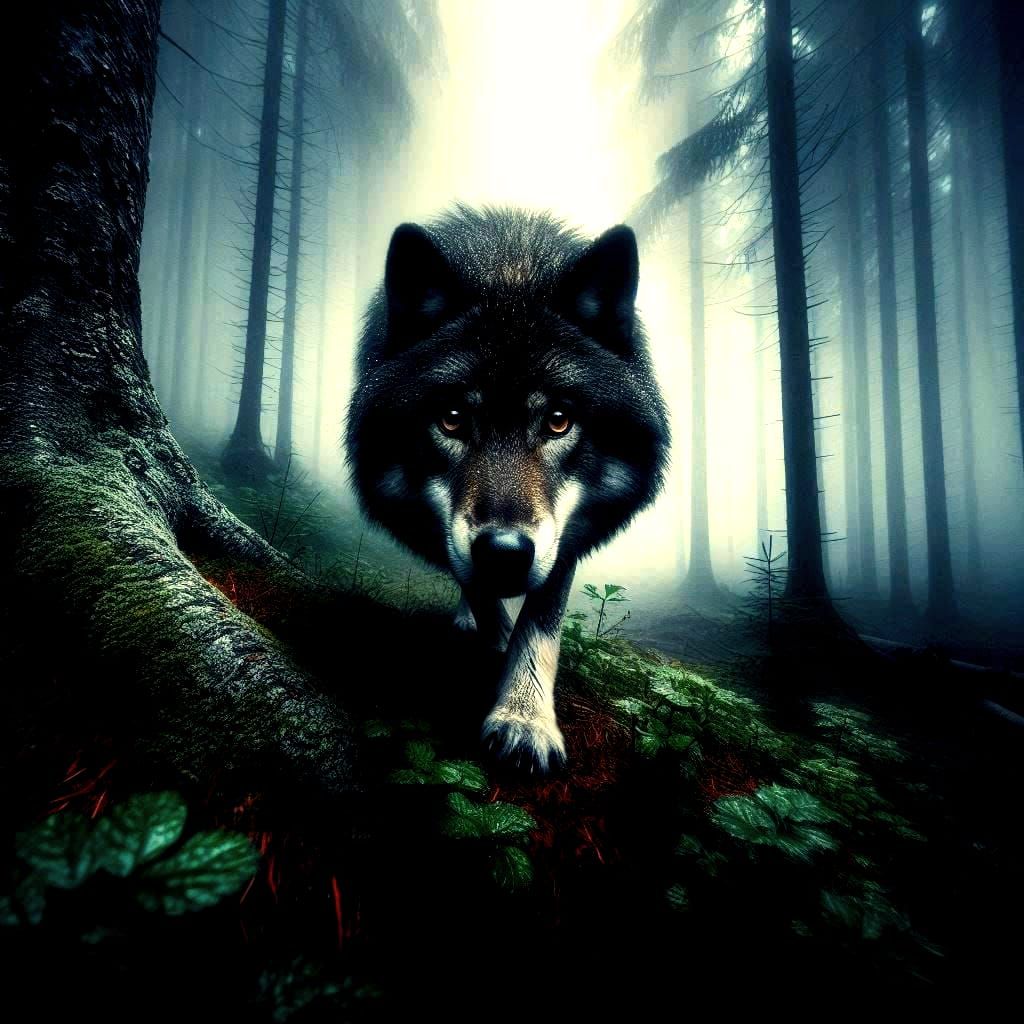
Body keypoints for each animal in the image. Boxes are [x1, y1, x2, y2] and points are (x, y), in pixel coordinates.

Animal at [345, 204, 669, 772]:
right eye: (452, 419)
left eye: (559, 421)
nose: (504, 553)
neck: (510, 269)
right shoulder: (453, 536)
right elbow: (476, 588)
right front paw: (493, 645)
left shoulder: (564, 538)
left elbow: (541, 622)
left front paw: (524, 719)